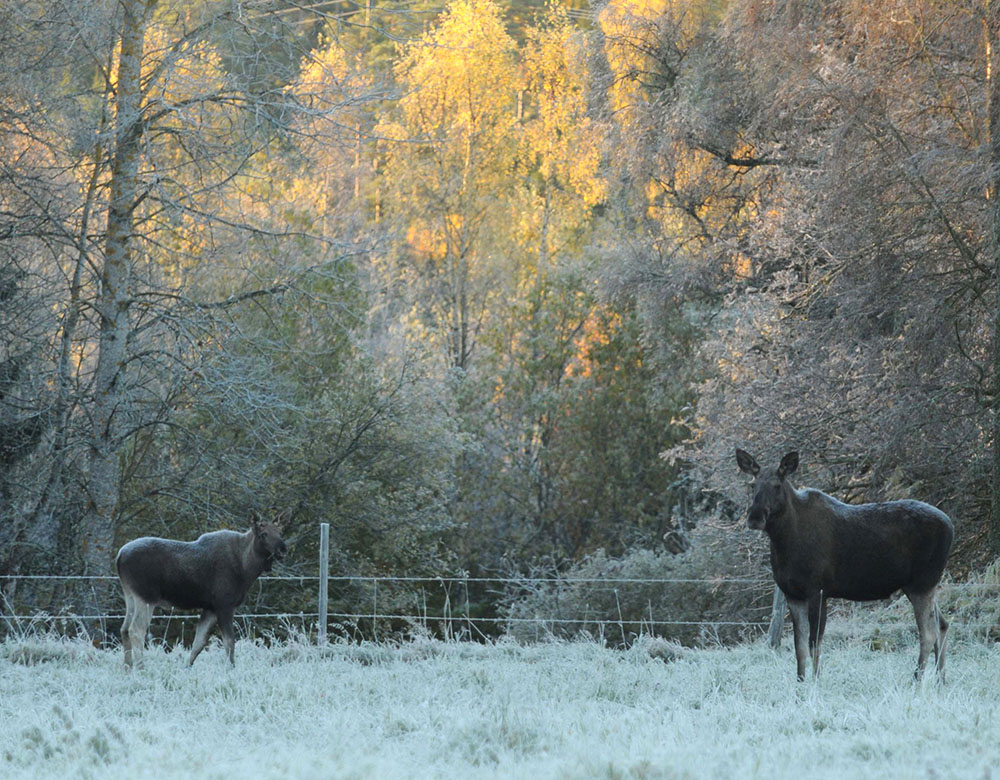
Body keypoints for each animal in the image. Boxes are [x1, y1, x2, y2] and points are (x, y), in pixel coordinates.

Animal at [114, 516, 286, 668]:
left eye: (280, 532)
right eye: (263, 534)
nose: (283, 548)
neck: (246, 569)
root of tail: (119, 556)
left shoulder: (210, 608)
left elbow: (199, 643)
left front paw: (187, 667)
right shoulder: (224, 604)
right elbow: (229, 642)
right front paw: (231, 669)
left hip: (130, 595)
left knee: (124, 629)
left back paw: (127, 667)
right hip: (146, 597)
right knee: (136, 630)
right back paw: (141, 668)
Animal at [736, 448, 952, 680]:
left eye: (777, 485)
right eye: (752, 485)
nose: (755, 517)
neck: (784, 542)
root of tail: (950, 525)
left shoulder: (818, 590)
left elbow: (814, 645)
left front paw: (815, 682)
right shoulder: (792, 594)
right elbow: (799, 648)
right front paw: (800, 684)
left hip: (921, 583)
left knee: (928, 633)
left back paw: (916, 680)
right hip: (923, 585)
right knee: (942, 624)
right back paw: (940, 681)